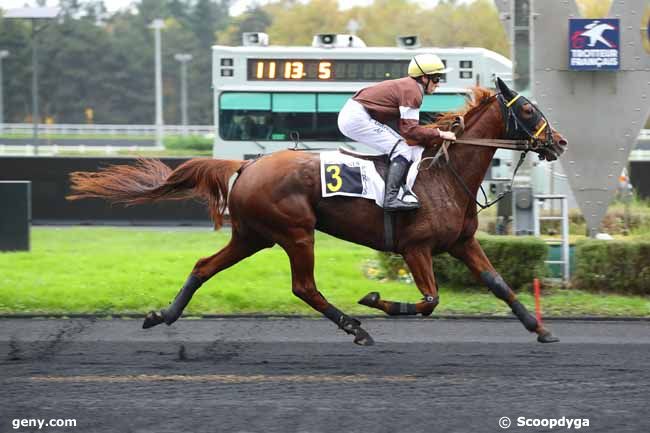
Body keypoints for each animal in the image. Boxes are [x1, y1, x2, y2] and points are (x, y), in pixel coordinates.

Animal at [71, 78, 564, 344]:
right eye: (527, 108)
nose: (558, 142)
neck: (445, 174)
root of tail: (247, 165)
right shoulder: (415, 248)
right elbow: (429, 301)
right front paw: (376, 300)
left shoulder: (461, 242)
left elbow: (498, 284)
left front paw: (540, 328)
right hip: (295, 232)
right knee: (303, 286)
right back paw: (355, 325)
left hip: (253, 235)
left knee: (204, 265)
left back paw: (163, 316)